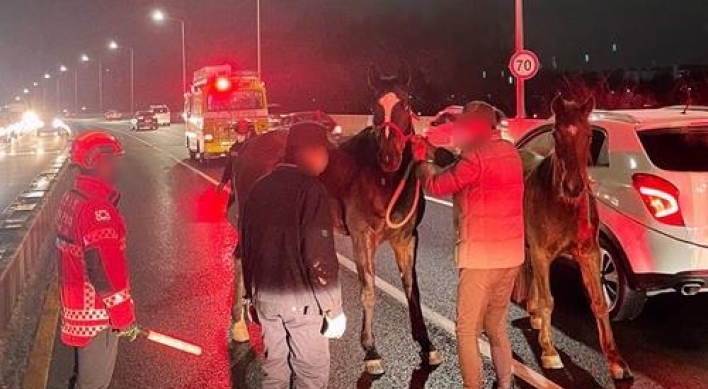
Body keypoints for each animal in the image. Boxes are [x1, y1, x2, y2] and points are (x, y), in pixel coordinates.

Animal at [232, 67, 442, 376]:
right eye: (374, 107)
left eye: (405, 104)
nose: (389, 156)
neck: (383, 180)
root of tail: (249, 144)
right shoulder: (362, 236)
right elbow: (368, 290)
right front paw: (371, 350)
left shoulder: (406, 239)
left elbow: (412, 290)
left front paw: (426, 346)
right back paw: (239, 324)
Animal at [524, 96, 632, 378]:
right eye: (555, 133)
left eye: (589, 135)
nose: (574, 186)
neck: (564, 205)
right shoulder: (541, 250)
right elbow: (548, 300)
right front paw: (549, 351)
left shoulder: (590, 254)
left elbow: (599, 302)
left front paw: (617, 361)